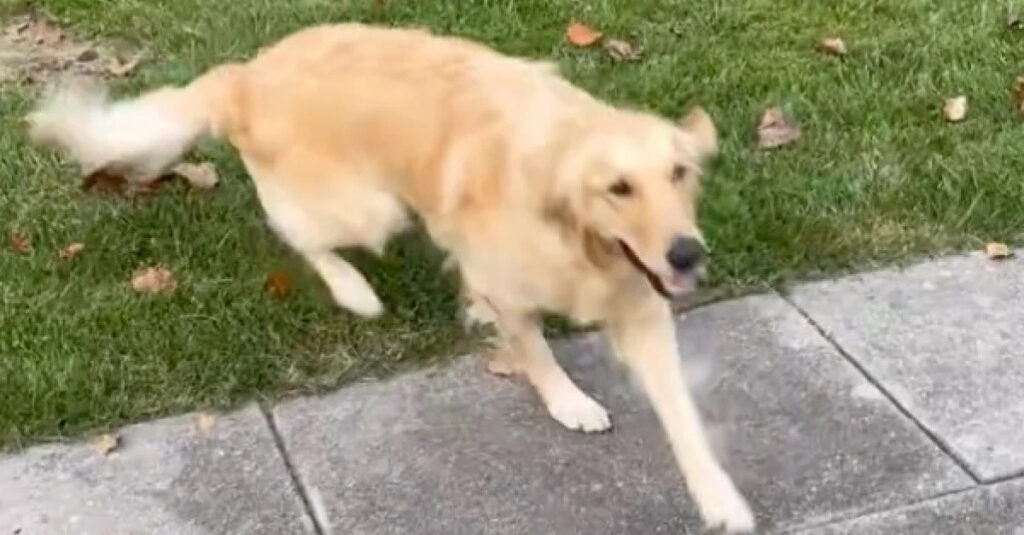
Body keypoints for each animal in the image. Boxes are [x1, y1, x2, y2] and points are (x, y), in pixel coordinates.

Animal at [25, 23, 753, 528]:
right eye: (618, 188)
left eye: (679, 173)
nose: (687, 254)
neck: (574, 231)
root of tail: (245, 75)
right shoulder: (513, 285)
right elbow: (534, 349)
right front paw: (565, 399)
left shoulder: (643, 307)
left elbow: (683, 418)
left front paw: (721, 499)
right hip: (369, 207)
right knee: (299, 233)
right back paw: (354, 289)